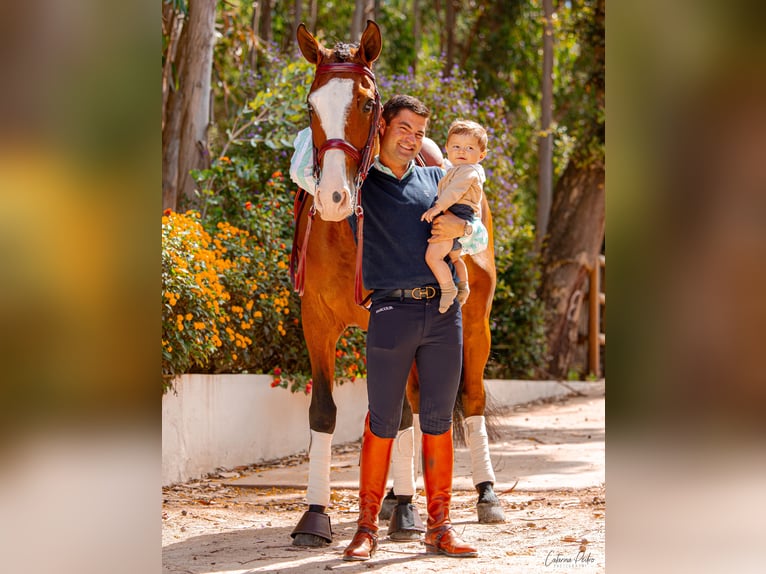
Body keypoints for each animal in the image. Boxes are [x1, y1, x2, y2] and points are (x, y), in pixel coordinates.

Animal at [288, 20, 504, 548]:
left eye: (367, 104)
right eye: (310, 105)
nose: (334, 196)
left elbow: (406, 414)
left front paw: (407, 509)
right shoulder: (316, 322)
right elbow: (325, 412)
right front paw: (315, 516)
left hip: (477, 324)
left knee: (468, 398)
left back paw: (483, 493)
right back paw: (391, 499)